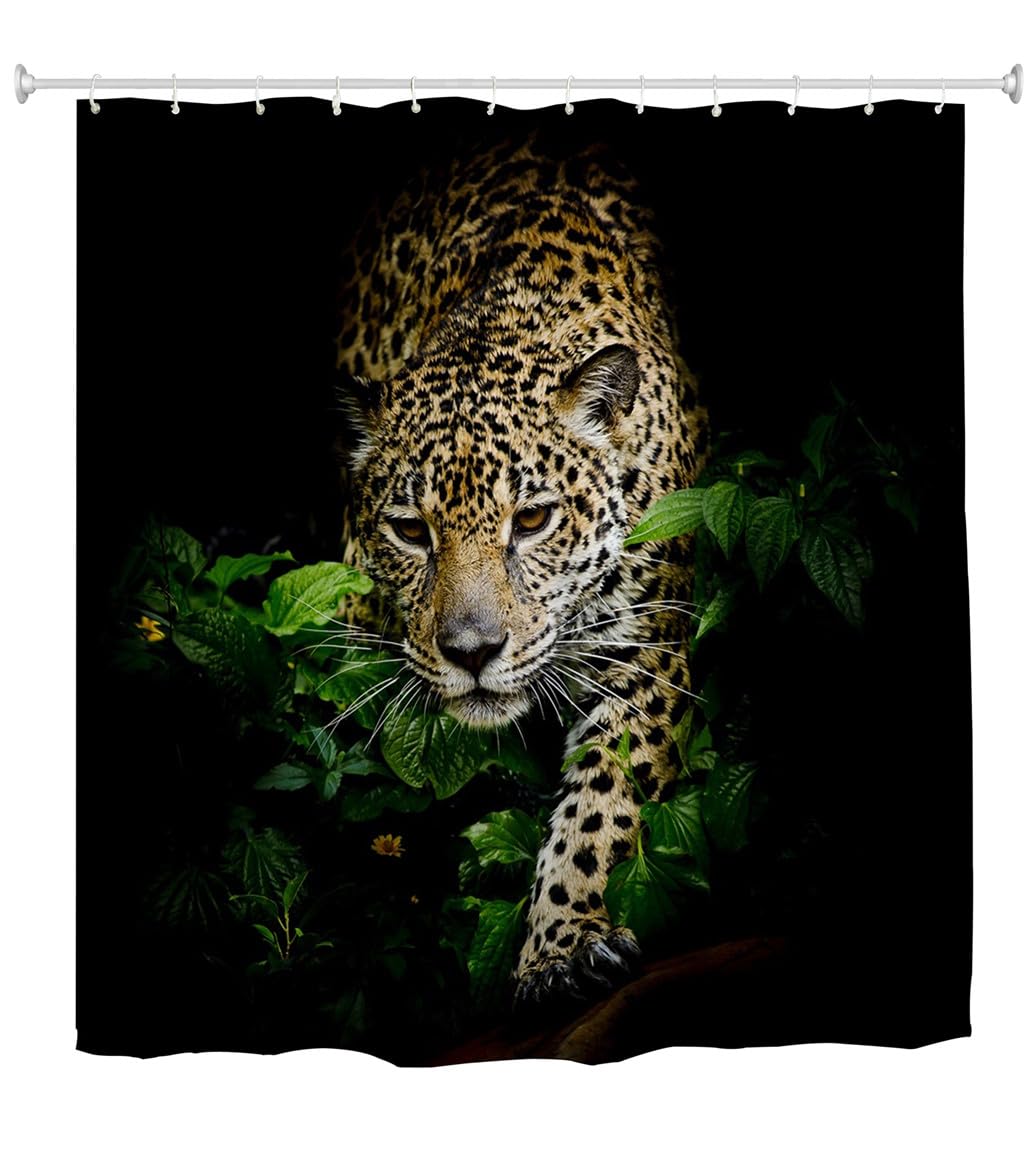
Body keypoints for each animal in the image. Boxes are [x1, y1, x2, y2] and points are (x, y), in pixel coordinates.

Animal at [334, 134, 707, 1004]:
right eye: (410, 531)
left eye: (532, 520)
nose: (472, 653)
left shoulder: (650, 655)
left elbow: (603, 806)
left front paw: (563, 943)